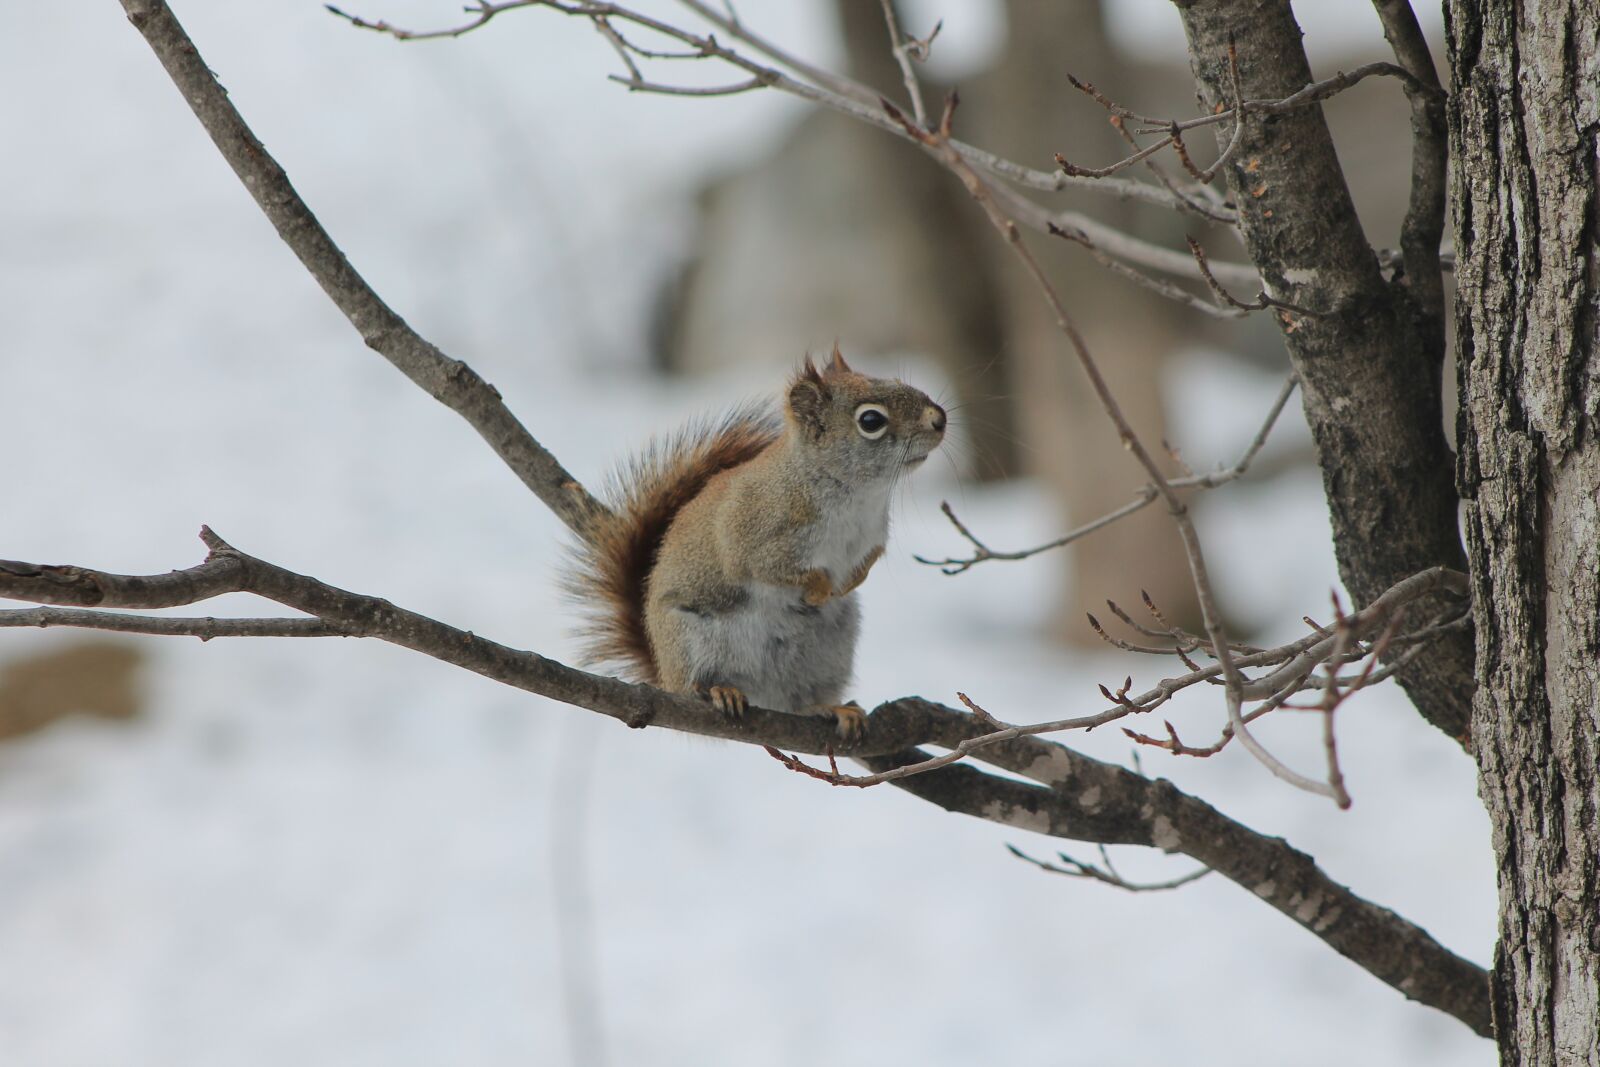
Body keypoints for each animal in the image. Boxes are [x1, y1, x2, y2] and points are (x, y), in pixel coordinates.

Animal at [569, 348, 946, 739]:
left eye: (897, 381)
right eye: (871, 420)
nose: (939, 419)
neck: (858, 496)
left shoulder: (872, 539)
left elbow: (866, 563)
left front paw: (847, 585)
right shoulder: (752, 536)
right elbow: (769, 569)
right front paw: (818, 588)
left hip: (828, 652)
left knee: (798, 700)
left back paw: (830, 707)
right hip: (690, 640)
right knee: (692, 685)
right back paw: (718, 690)